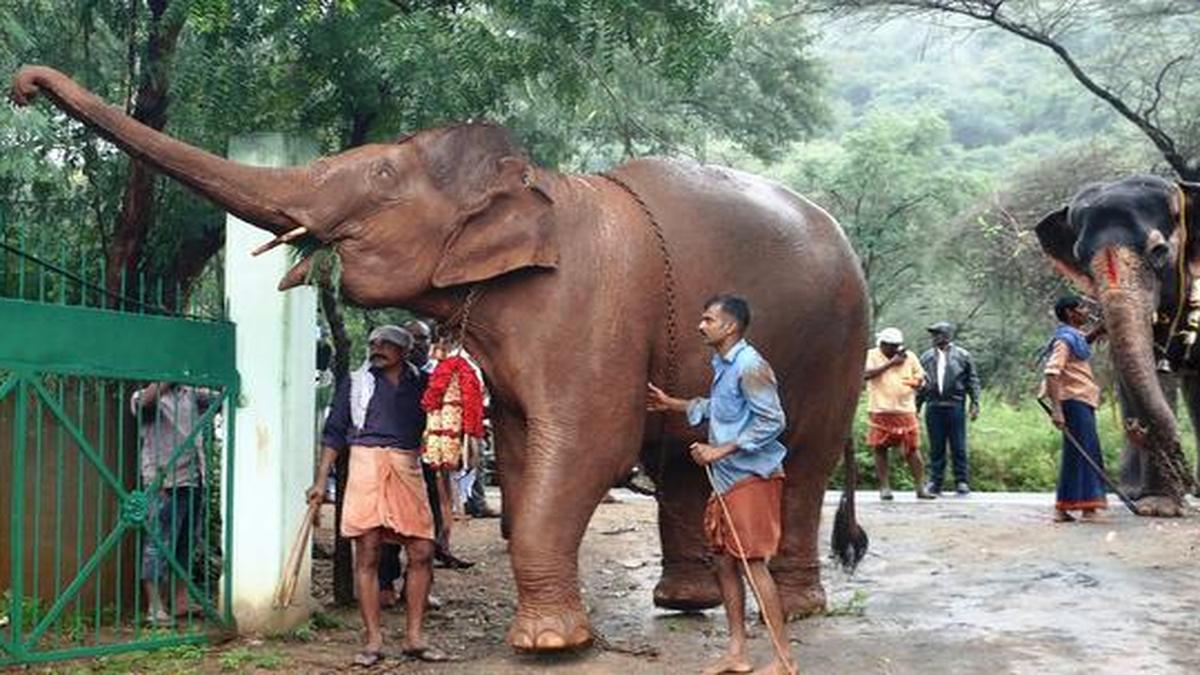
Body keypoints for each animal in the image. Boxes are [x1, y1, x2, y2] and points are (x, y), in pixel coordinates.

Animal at [10, 65, 869, 650]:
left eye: (383, 175)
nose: (20, 86)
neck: (541, 184)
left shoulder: (590, 309)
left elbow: (589, 446)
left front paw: (548, 643)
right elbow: (523, 453)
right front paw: (551, 627)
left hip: (839, 344)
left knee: (803, 460)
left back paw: (793, 606)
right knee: (687, 461)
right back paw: (685, 600)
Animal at [1035, 174, 1199, 516]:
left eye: (1159, 251)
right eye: (1080, 257)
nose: (1138, 430)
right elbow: (1150, 371)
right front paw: (1159, 507)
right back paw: (1134, 493)